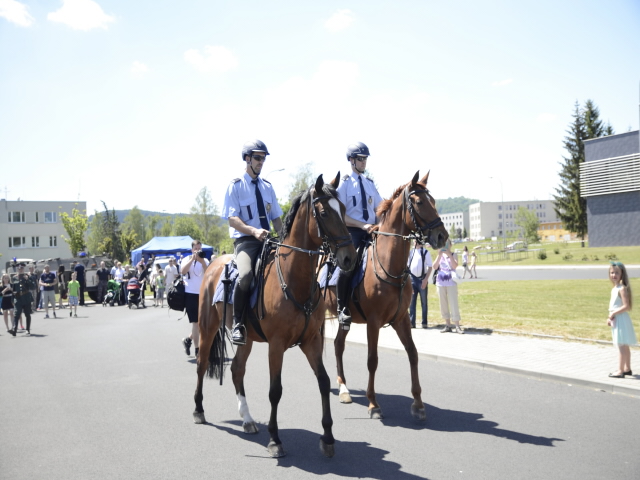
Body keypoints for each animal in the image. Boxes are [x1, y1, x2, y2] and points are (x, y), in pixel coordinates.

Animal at [192, 172, 358, 458]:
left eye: (344, 209)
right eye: (324, 212)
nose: (349, 258)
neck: (295, 280)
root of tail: (212, 265)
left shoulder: (311, 341)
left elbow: (324, 381)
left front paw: (327, 437)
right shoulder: (277, 345)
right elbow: (275, 390)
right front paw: (275, 439)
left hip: (245, 339)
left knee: (236, 369)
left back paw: (247, 419)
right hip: (207, 327)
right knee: (202, 364)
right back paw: (199, 410)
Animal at [328, 172, 448, 420]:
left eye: (433, 201)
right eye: (419, 202)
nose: (442, 235)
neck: (389, 264)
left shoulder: (401, 319)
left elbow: (413, 354)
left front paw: (418, 403)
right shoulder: (373, 322)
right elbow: (372, 360)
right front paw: (373, 404)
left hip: (343, 321)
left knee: (337, 345)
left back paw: (344, 388)